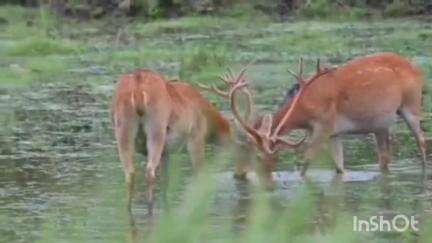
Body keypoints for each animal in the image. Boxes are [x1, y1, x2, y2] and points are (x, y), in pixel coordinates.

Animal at [111, 69, 233, 212]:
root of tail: (138, 90)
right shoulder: (196, 137)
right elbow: (200, 174)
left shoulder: (166, 152)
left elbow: (166, 180)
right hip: (157, 129)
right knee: (150, 172)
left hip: (123, 130)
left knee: (130, 173)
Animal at [208, 53, 426, 178]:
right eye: (239, 150)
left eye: (261, 156)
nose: (238, 175)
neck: (305, 109)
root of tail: (418, 69)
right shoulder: (335, 133)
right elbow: (339, 169)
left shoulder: (324, 125)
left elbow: (306, 163)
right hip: (381, 125)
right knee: (385, 157)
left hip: (412, 104)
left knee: (422, 142)